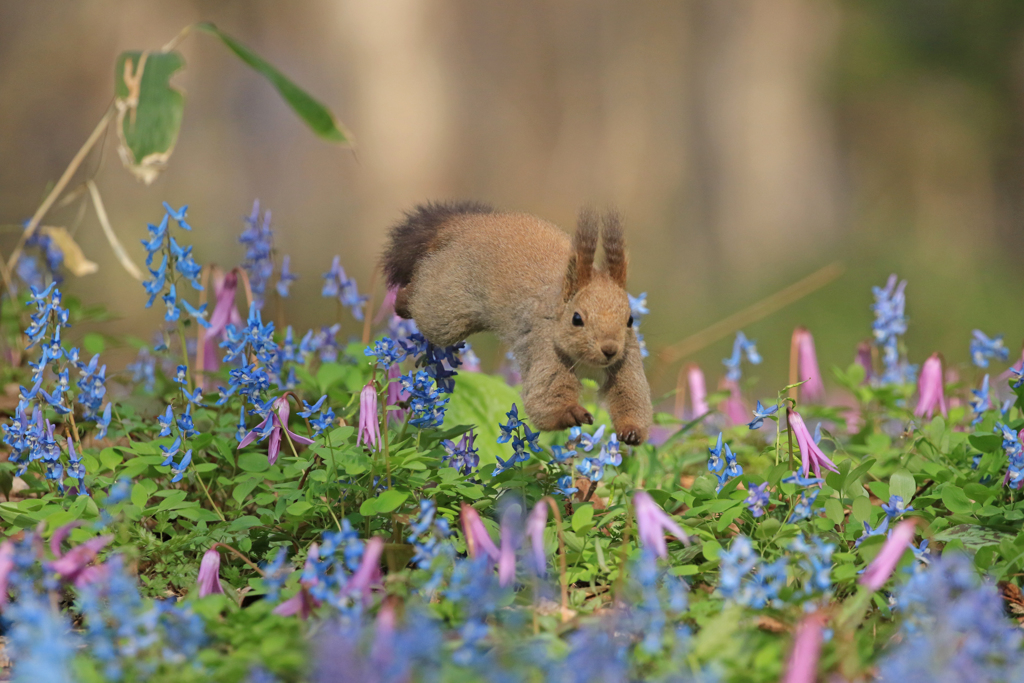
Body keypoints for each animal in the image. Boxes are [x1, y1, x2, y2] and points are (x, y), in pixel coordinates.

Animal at [380, 201, 651, 448]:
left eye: (630, 319)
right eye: (577, 319)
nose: (610, 349)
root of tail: (468, 225)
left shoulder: (625, 362)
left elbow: (630, 397)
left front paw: (632, 431)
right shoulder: (547, 350)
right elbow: (544, 400)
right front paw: (571, 413)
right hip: (447, 302)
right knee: (425, 301)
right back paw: (403, 298)